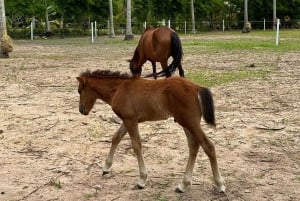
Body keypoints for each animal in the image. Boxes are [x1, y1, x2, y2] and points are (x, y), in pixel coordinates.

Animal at [77, 69, 225, 193]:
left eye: (79, 91)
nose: (81, 110)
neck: (119, 88)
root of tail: (197, 87)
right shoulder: (127, 120)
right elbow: (116, 138)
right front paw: (106, 168)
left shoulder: (130, 120)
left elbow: (136, 145)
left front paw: (142, 180)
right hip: (185, 123)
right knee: (193, 146)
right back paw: (183, 185)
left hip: (191, 123)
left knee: (208, 146)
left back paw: (219, 184)